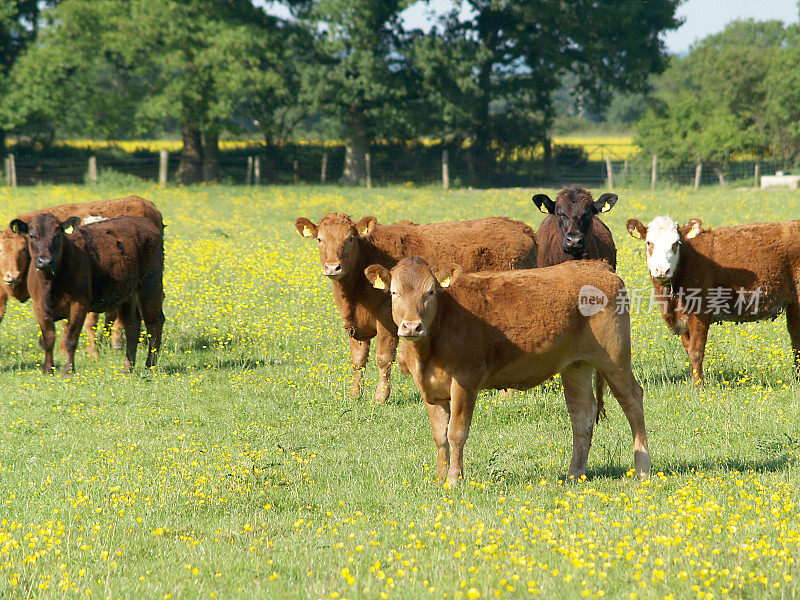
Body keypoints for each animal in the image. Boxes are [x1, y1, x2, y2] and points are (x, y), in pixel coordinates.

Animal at [296, 214, 536, 404]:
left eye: (350, 238)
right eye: (320, 239)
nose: (332, 267)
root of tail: (521, 227)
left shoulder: (387, 321)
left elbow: (383, 358)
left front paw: (380, 397)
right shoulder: (356, 327)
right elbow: (358, 360)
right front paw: (355, 395)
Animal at [366, 255, 652, 486]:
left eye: (431, 292)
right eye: (394, 293)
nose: (411, 326)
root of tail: (600, 267)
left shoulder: (465, 380)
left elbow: (456, 432)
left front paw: (454, 479)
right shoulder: (429, 389)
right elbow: (440, 435)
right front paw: (439, 478)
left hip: (614, 358)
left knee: (632, 401)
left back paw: (642, 468)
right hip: (576, 365)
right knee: (582, 415)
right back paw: (575, 474)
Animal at [628, 216, 800, 384]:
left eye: (676, 243)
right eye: (649, 242)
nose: (662, 270)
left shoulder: (700, 312)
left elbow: (696, 351)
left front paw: (698, 386)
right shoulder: (682, 318)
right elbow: (688, 348)